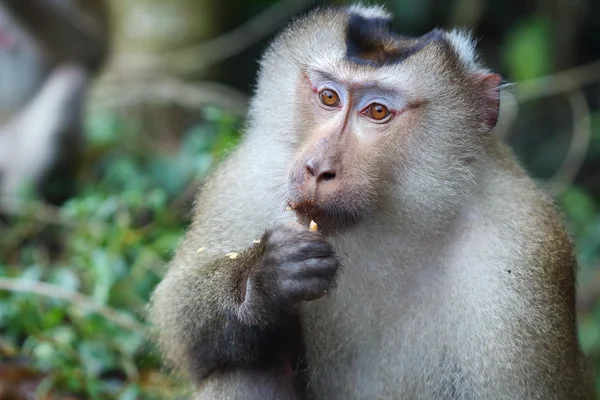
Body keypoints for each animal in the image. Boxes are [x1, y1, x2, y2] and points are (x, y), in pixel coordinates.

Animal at [149, 3, 596, 400]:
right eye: (329, 97)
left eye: (377, 111)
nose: (318, 169)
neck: (387, 221)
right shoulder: (247, 178)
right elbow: (178, 322)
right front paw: (266, 277)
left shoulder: (522, 250)